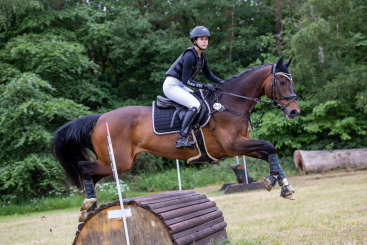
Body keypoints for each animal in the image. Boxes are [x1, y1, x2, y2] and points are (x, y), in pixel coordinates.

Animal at [53, 56, 304, 216]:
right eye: (282, 81)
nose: (294, 112)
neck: (230, 103)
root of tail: (100, 118)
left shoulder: (241, 146)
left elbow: (270, 151)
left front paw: (284, 186)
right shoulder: (233, 146)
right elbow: (269, 146)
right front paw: (274, 180)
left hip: (115, 162)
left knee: (92, 174)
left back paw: (90, 206)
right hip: (118, 161)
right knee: (85, 167)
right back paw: (89, 204)